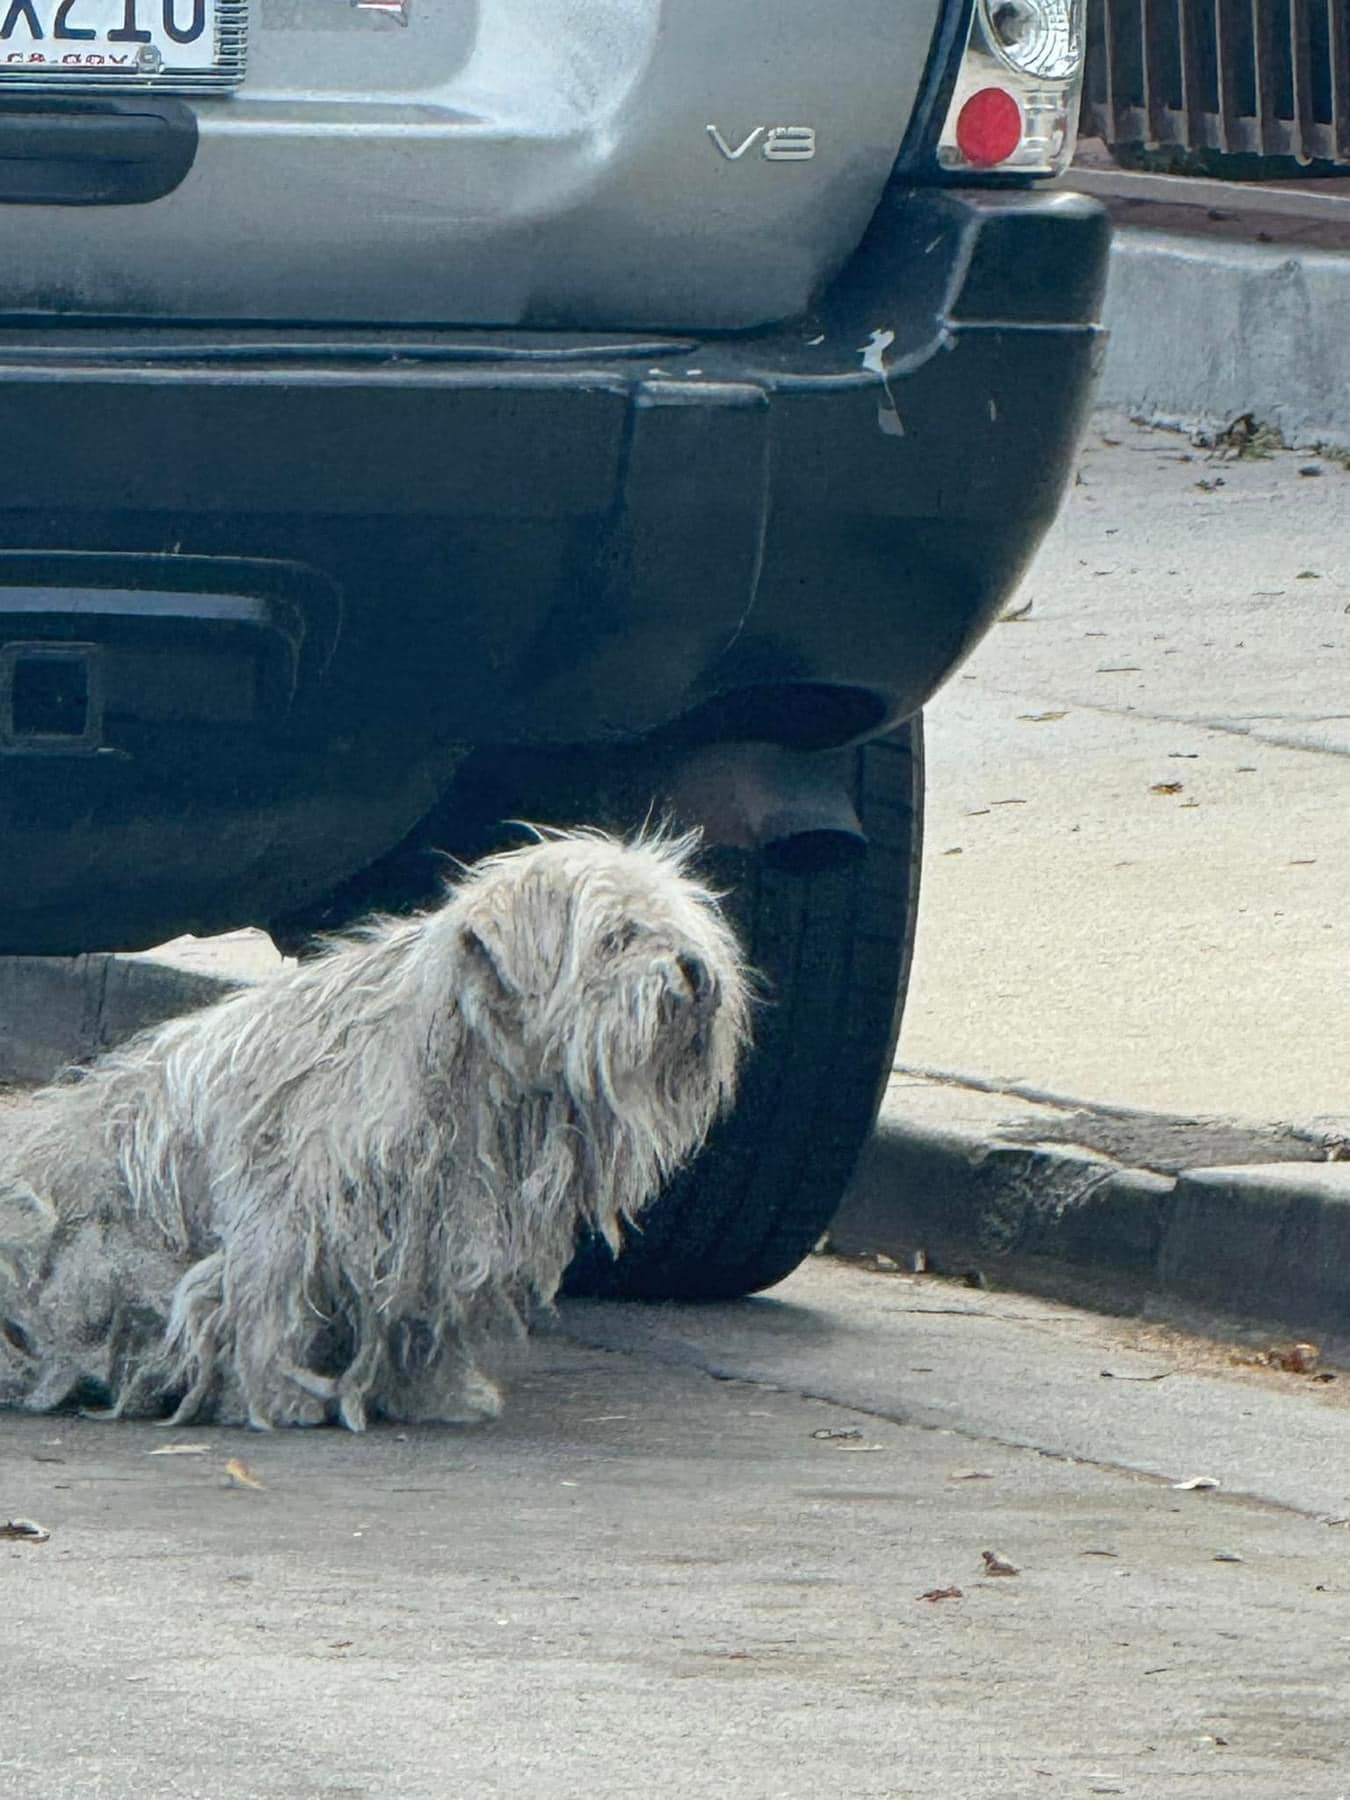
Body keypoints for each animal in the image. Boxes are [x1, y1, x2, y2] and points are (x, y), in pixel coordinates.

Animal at [0, 828, 752, 1432]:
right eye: (617, 936)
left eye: (681, 927)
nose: (696, 972)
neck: (463, 1054)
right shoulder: (288, 1214)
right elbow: (267, 1306)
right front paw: (277, 1398)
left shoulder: (438, 1226)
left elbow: (421, 1318)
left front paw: (434, 1393)